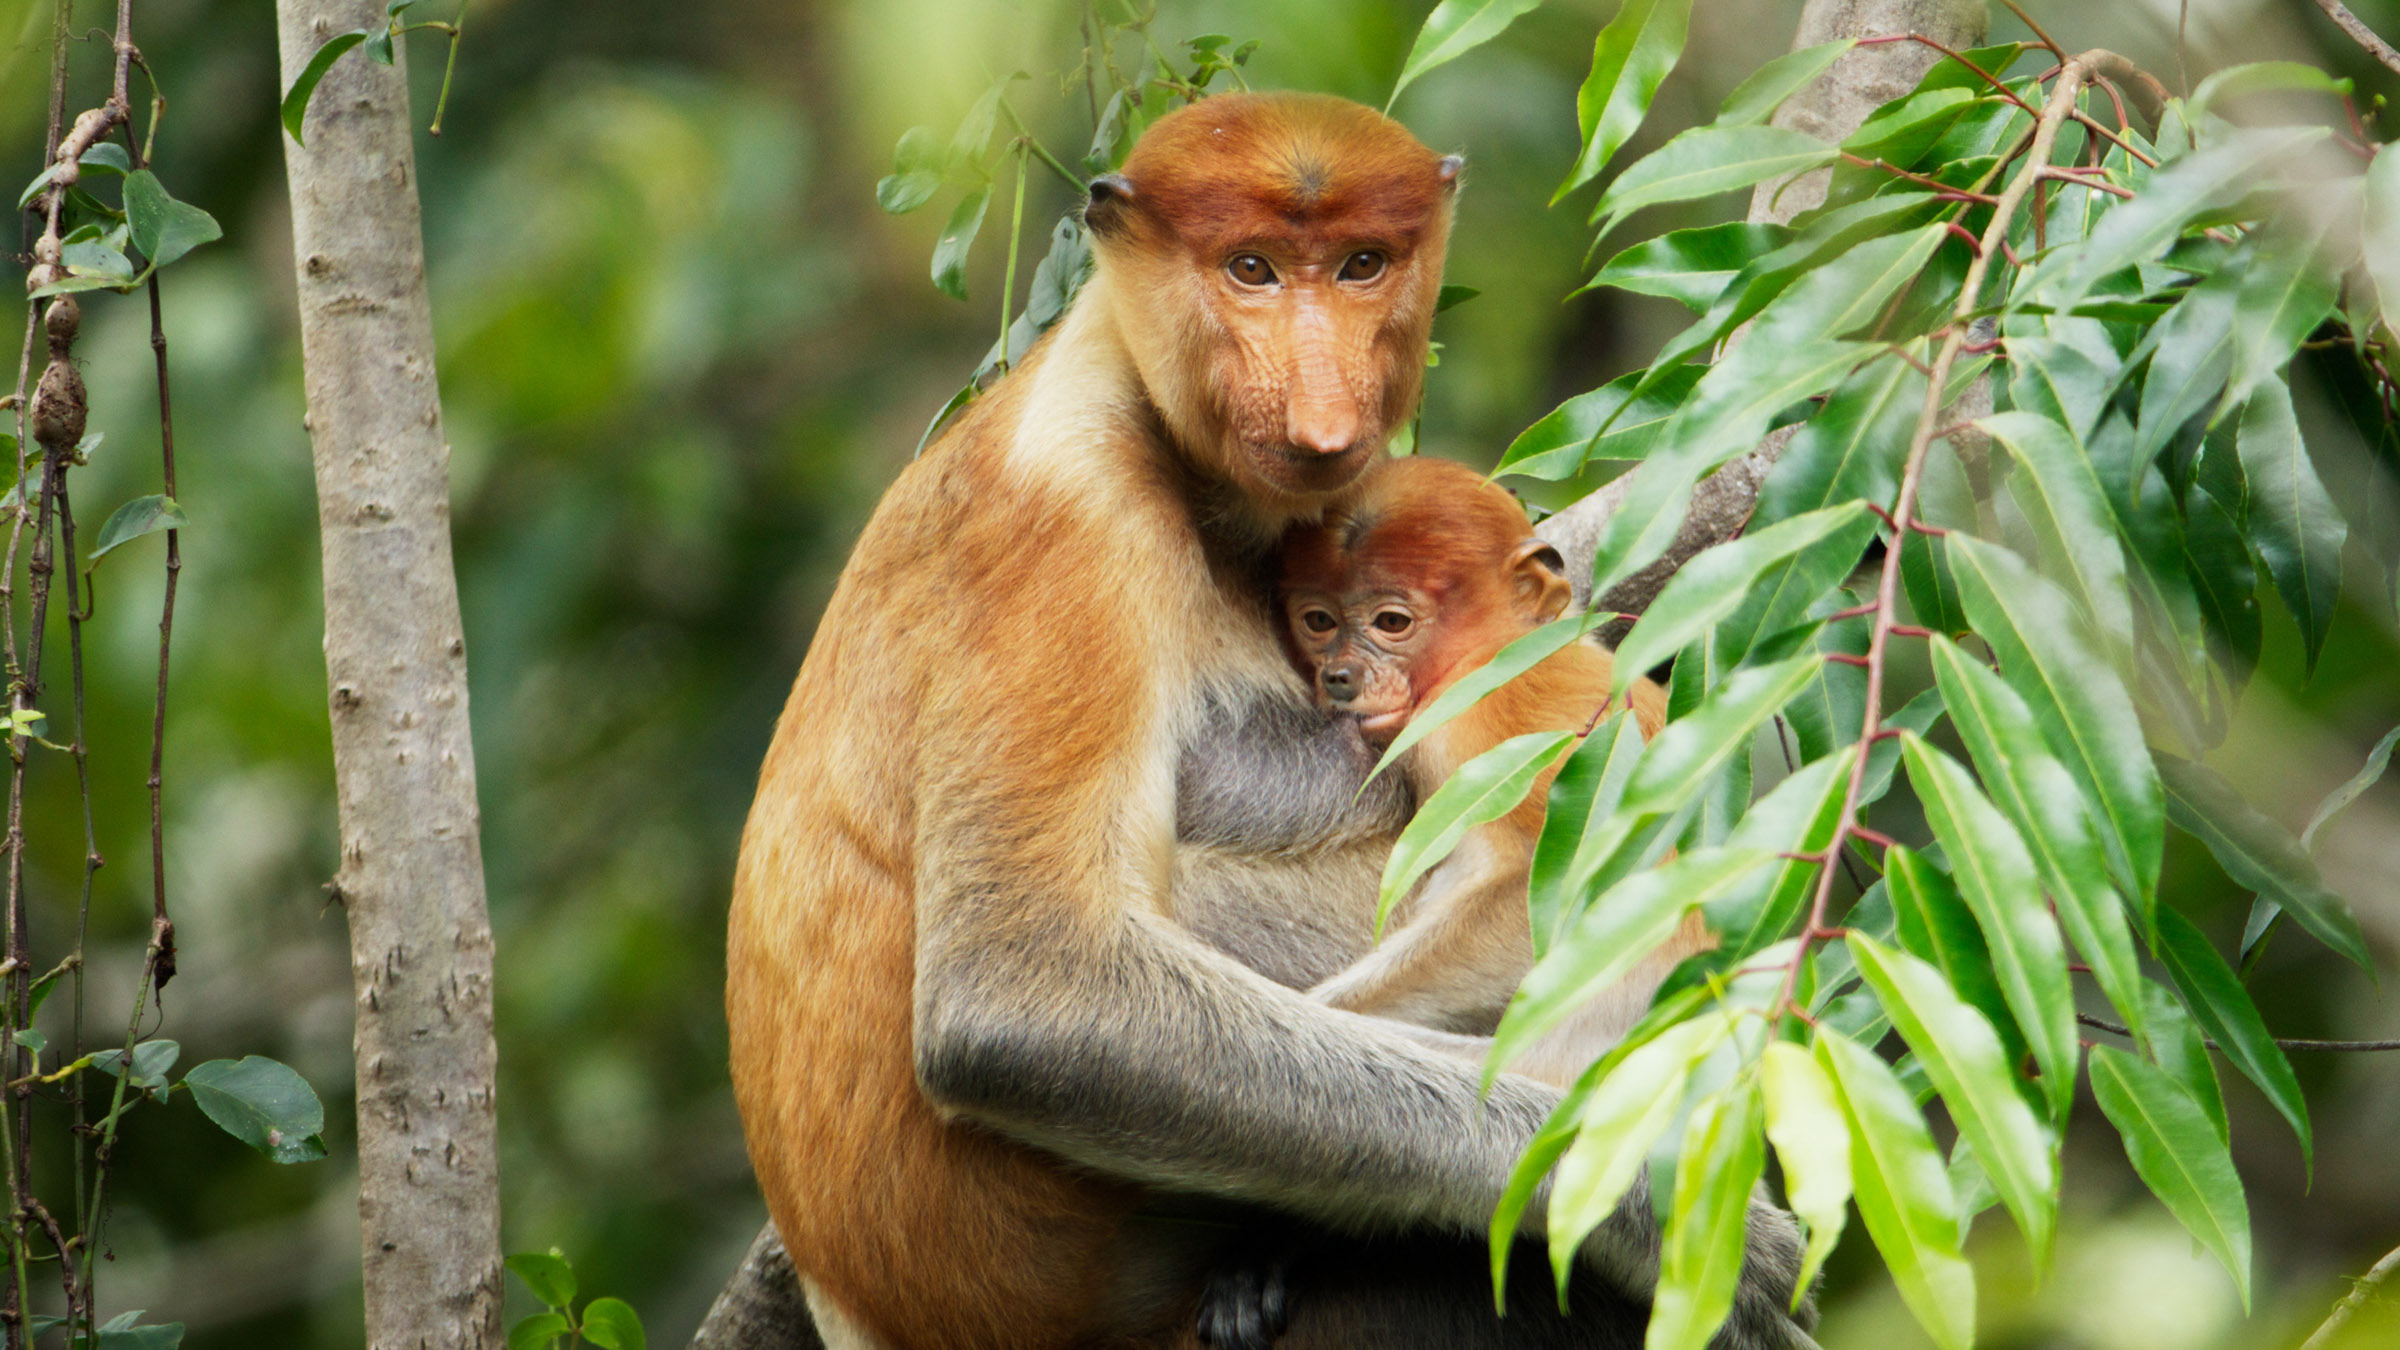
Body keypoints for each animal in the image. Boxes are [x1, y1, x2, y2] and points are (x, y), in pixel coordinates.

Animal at [1274, 454, 1709, 1087]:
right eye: (1319, 621)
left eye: (1391, 622)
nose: (1340, 676)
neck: (1499, 648)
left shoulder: (1461, 722)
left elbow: (1539, 888)